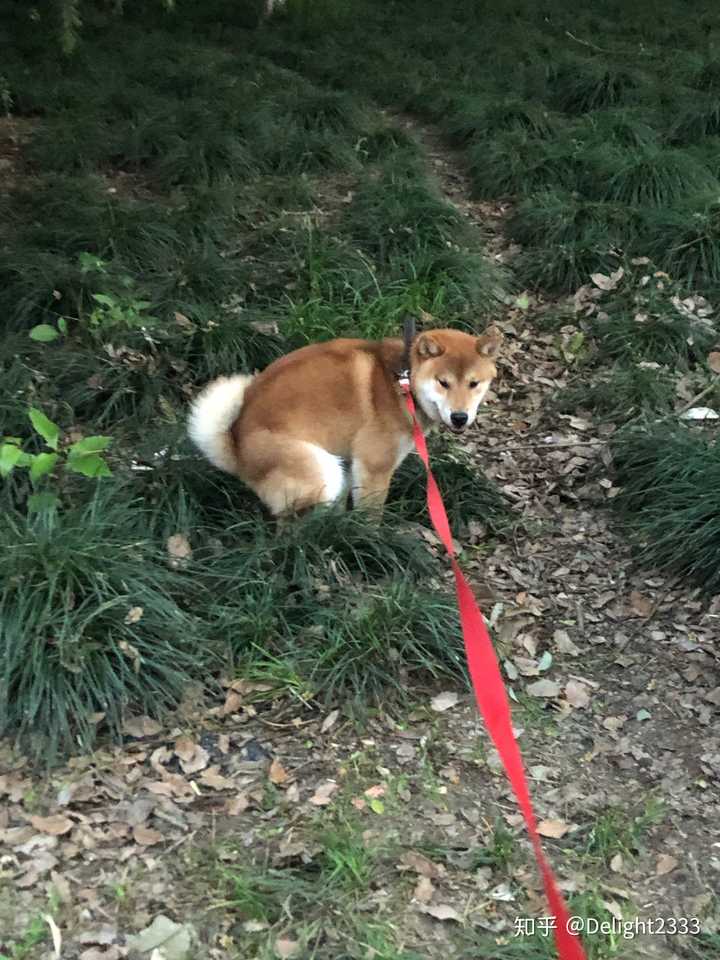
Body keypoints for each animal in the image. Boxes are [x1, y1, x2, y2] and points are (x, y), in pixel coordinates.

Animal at [188, 324, 504, 520]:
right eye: (443, 383)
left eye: (474, 383)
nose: (460, 417)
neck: (404, 382)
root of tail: (235, 448)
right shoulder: (375, 465)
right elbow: (371, 513)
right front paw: (370, 540)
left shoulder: (355, 462)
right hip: (321, 471)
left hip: (334, 468)